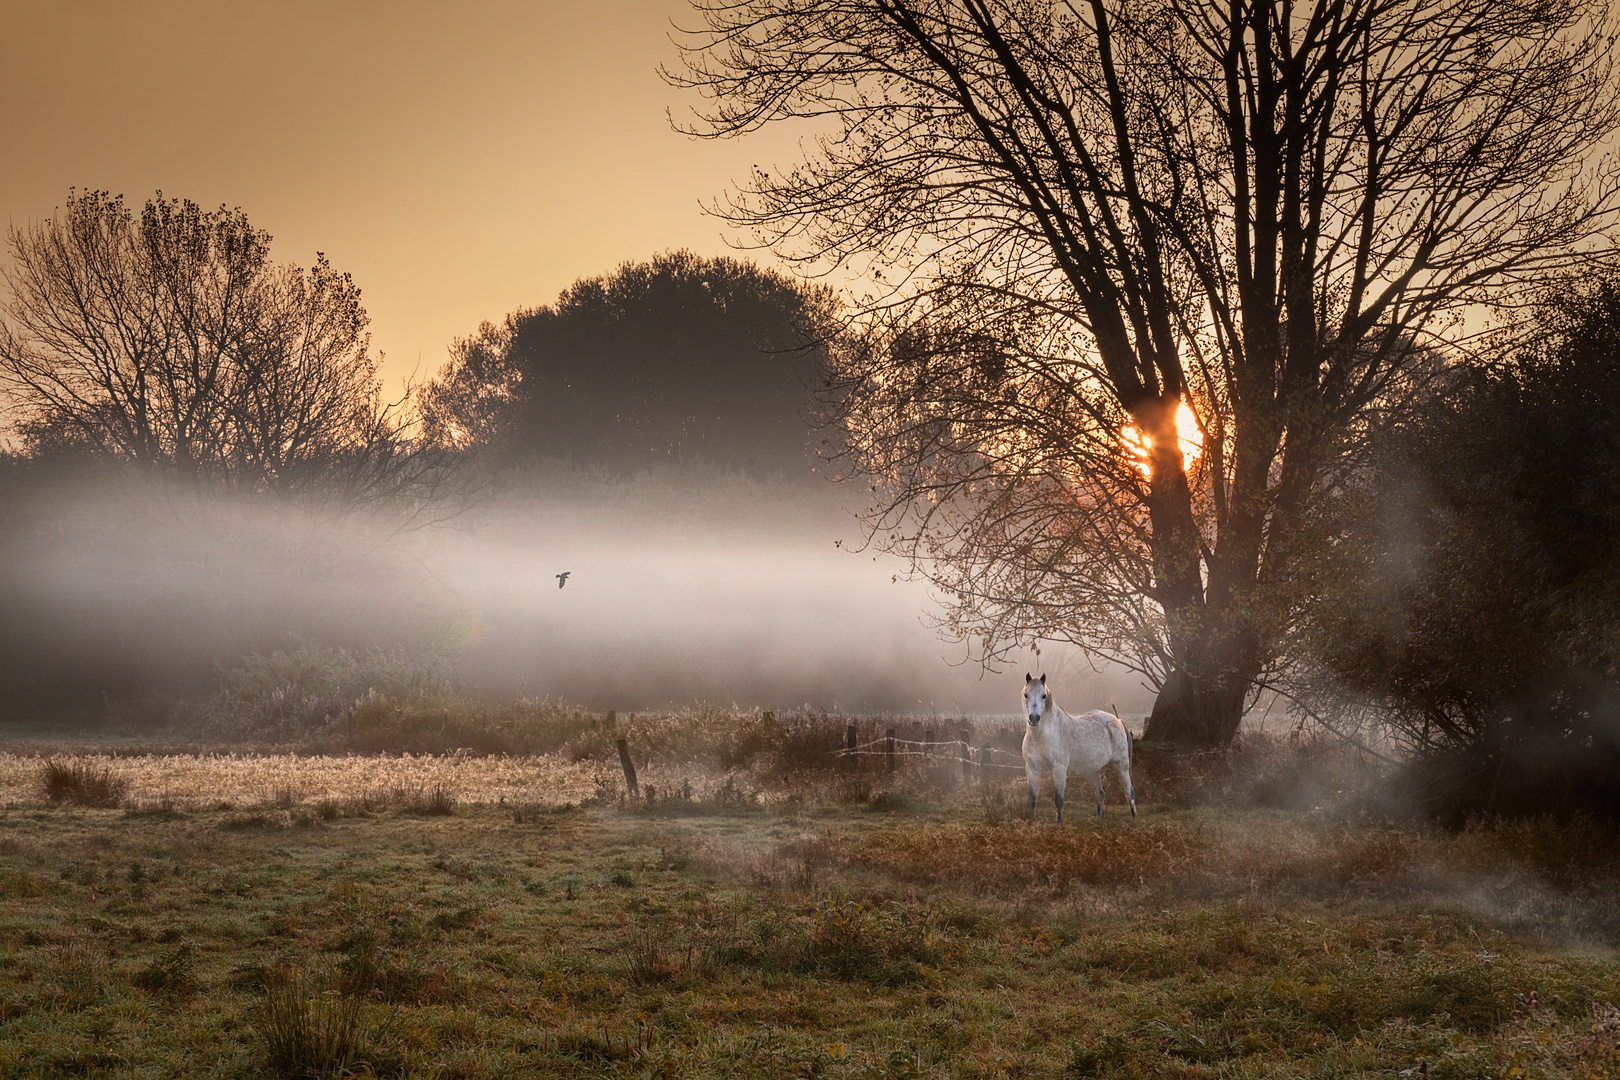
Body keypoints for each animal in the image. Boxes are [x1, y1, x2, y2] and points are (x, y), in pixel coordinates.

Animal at [1023, 670, 1140, 822]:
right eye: (1026, 694)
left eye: (1044, 695)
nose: (1034, 718)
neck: (1039, 737)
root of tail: (1117, 720)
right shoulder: (1032, 769)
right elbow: (1032, 798)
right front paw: (1030, 820)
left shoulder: (1059, 769)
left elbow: (1059, 799)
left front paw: (1060, 823)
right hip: (1092, 770)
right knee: (1100, 792)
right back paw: (1098, 819)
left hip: (1121, 765)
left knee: (1129, 791)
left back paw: (1134, 817)